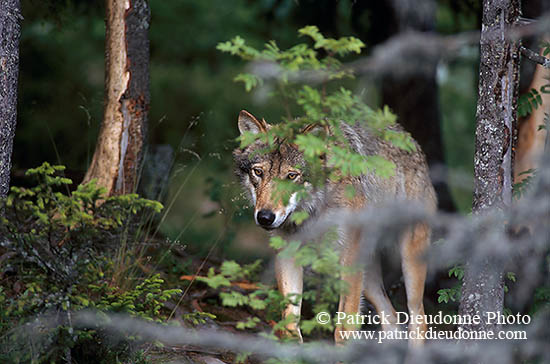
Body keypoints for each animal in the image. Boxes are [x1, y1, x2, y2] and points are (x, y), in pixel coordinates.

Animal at [235, 109, 438, 342]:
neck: (313, 210)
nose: (265, 217)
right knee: (392, 318)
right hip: (369, 278)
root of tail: (410, 139)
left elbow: (343, 329)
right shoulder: (288, 252)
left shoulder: (349, 258)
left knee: (418, 317)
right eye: (258, 172)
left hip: (408, 263)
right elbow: (289, 324)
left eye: (292, 176)